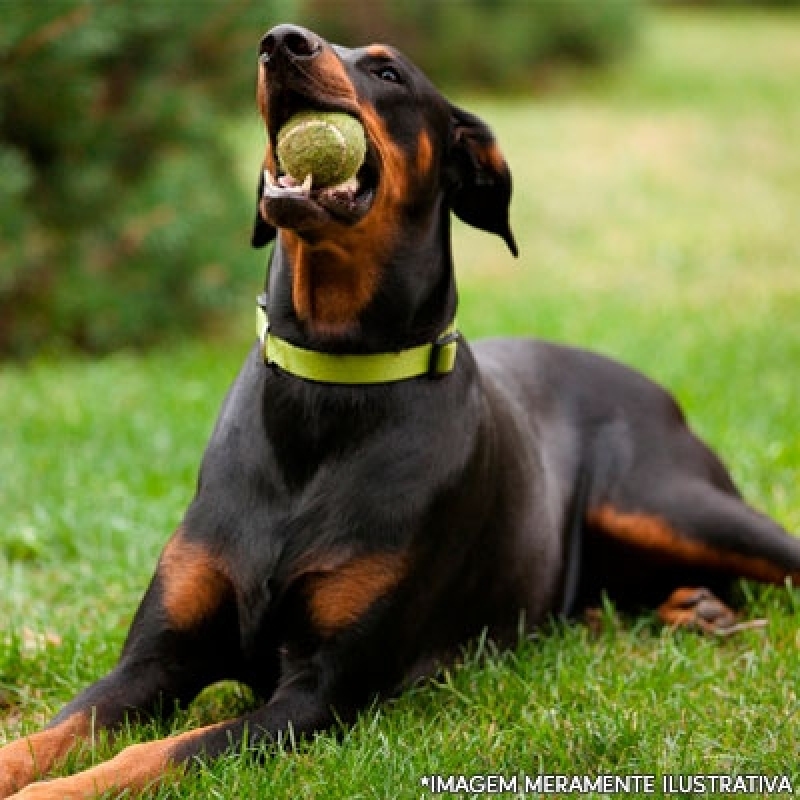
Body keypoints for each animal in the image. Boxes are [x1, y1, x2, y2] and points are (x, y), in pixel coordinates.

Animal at [3, 21, 796, 796]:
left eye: (389, 73)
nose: (280, 41)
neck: (326, 385)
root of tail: (655, 389)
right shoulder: (153, 662)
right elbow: (51, 733)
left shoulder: (318, 693)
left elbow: (159, 754)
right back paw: (692, 607)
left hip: (667, 502)